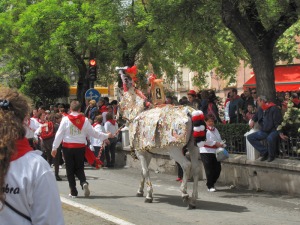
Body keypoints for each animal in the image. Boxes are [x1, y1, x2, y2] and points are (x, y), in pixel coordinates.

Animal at [116, 67, 203, 209]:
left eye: (118, 102)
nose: (117, 118)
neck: (137, 113)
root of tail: (190, 112)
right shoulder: (147, 153)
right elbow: (143, 172)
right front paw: (140, 191)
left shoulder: (141, 153)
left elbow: (145, 172)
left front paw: (149, 195)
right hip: (193, 147)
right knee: (195, 168)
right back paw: (193, 200)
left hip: (175, 150)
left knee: (186, 165)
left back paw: (184, 194)